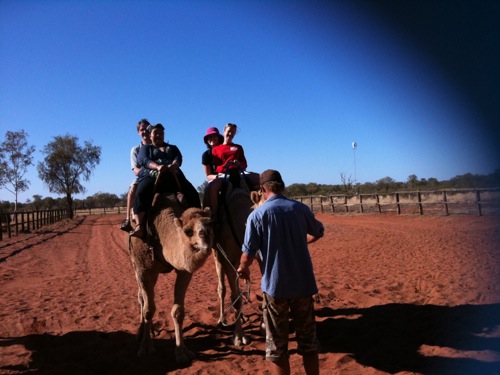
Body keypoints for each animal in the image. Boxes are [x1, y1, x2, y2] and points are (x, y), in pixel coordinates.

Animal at [127, 194, 213, 364]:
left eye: (210, 223)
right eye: (187, 231)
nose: (205, 236)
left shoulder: (184, 270)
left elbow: (178, 311)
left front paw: (182, 352)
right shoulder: (144, 270)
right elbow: (148, 309)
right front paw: (146, 348)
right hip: (135, 264)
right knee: (141, 297)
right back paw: (141, 334)